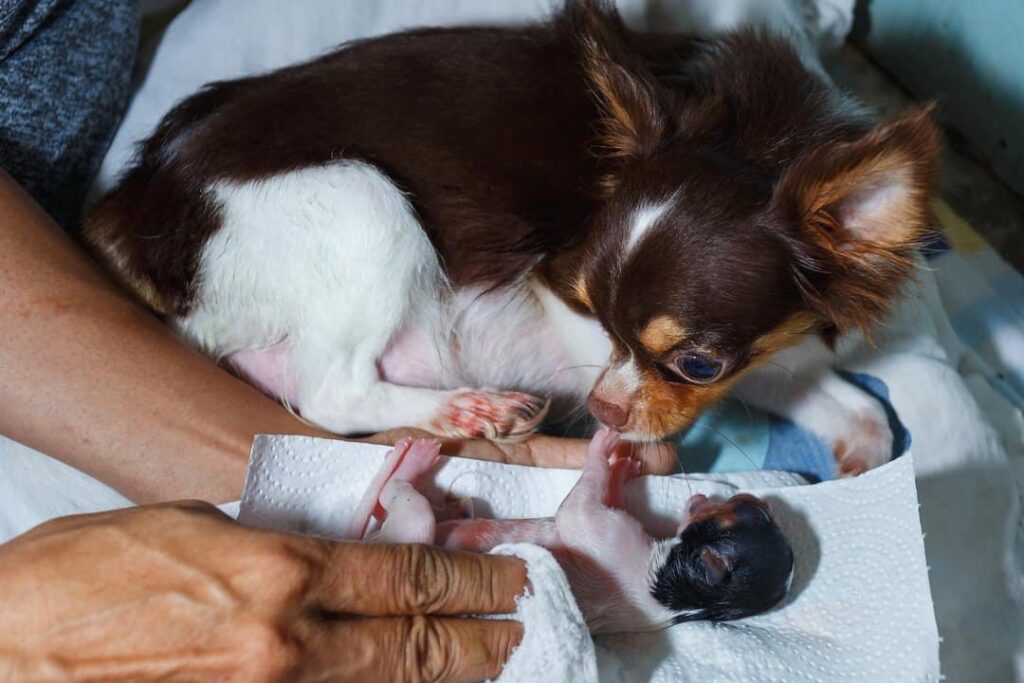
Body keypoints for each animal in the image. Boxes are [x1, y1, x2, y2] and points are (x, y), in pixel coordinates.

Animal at [350, 430, 790, 634]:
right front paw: (622, 468)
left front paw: (603, 446)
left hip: (412, 528)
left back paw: (412, 460)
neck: (678, 593)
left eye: (746, 512)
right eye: (759, 512)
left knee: (407, 507)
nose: (757, 498)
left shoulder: (613, 539)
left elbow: (576, 511)